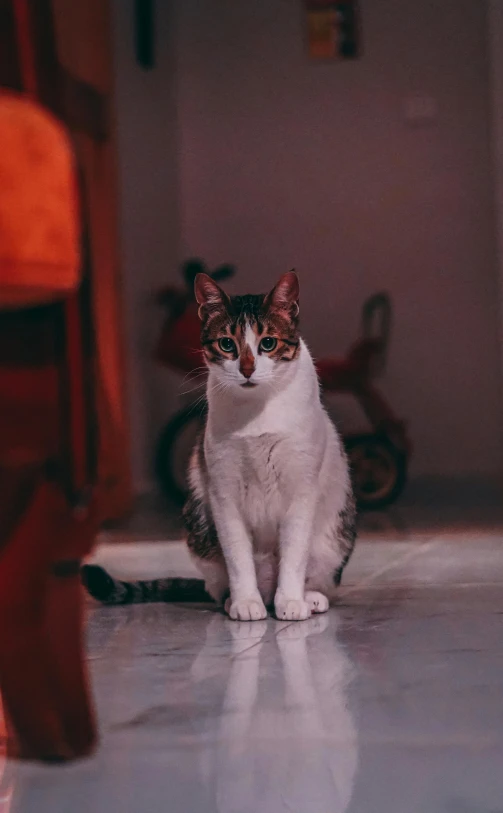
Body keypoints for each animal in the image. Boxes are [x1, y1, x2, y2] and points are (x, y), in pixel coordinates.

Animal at [82, 270, 356, 620]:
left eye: (268, 343)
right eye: (227, 344)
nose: (247, 369)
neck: (256, 412)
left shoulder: (300, 489)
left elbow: (294, 555)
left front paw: (292, 602)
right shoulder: (223, 492)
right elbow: (237, 558)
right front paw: (245, 603)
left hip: (334, 539)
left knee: (317, 574)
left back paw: (309, 598)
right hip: (199, 527)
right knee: (217, 585)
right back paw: (236, 600)